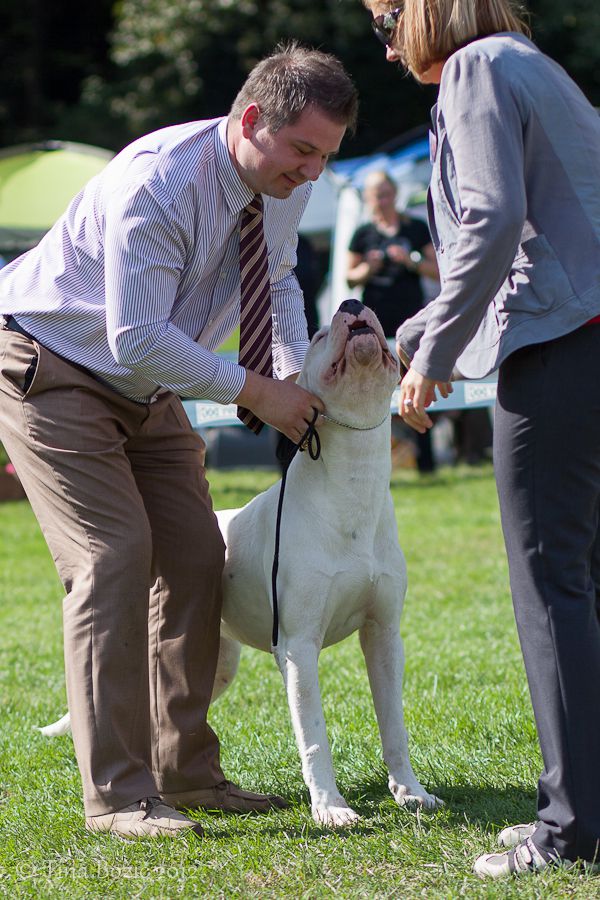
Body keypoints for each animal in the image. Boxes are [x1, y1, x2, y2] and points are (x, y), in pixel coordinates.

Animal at [41, 302, 440, 828]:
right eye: (318, 335)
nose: (352, 306)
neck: (354, 485)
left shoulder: (384, 635)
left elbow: (394, 724)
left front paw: (410, 792)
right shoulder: (298, 647)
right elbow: (315, 735)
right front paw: (331, 808)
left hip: (217, 664)